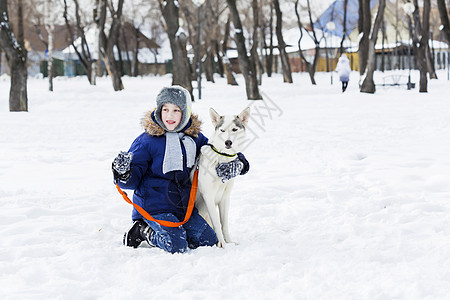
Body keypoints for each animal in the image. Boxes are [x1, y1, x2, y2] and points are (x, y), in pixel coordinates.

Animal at [195, 106, 251, 247]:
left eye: (234, 129)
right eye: (222, 130)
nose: (228, 142)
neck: (222, 160)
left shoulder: (225, 197)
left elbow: (224, 224)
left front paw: (229, 241)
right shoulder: (208, 195)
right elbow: (217, 223)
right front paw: (221, 243)